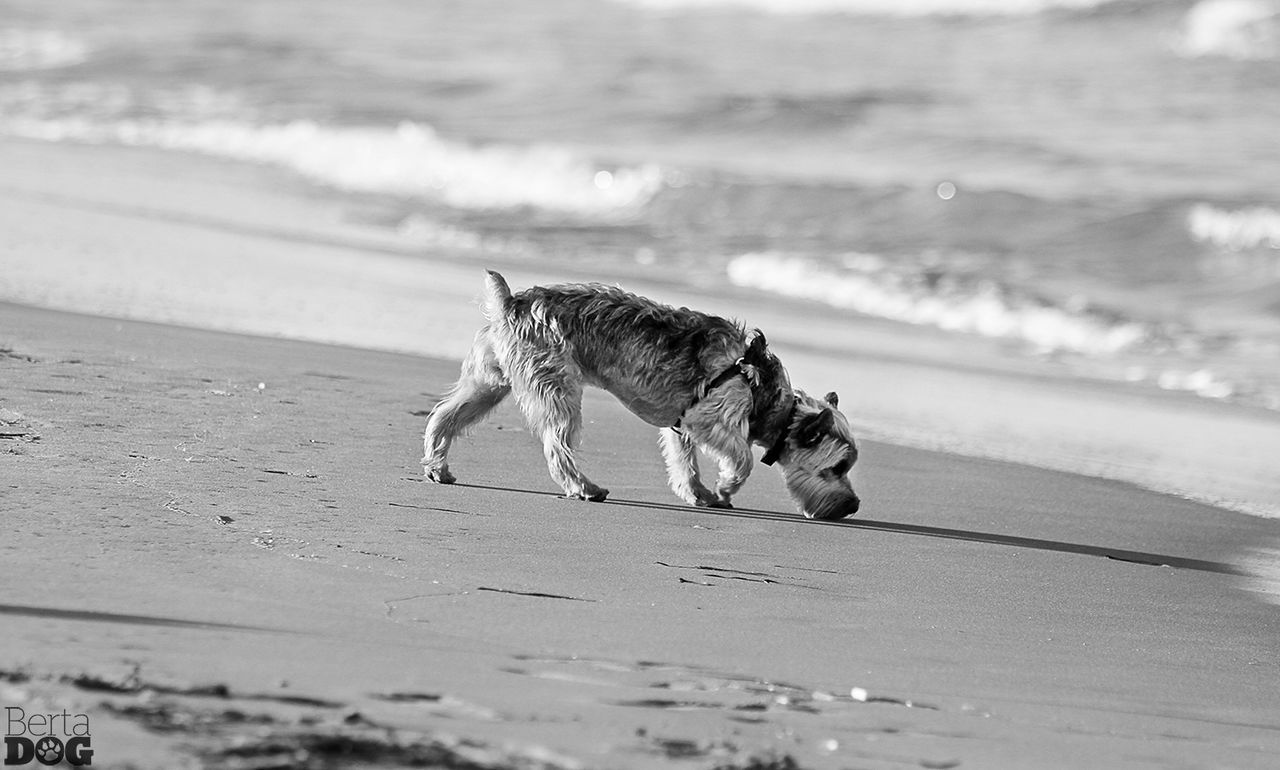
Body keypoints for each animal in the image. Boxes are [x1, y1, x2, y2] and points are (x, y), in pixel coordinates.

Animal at [422, 268, 860, 516]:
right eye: (837, 468)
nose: (854, 505)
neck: (770, 397)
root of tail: (511, 303)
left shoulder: (682, 427)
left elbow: (685, 464)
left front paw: (700, 493)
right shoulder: (711, 417)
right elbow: (743, 459)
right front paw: (726, 487)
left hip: (489, 382)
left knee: (445, 416)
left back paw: (437, 466)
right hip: (557, 388)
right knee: (557, 447)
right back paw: (585, 488)